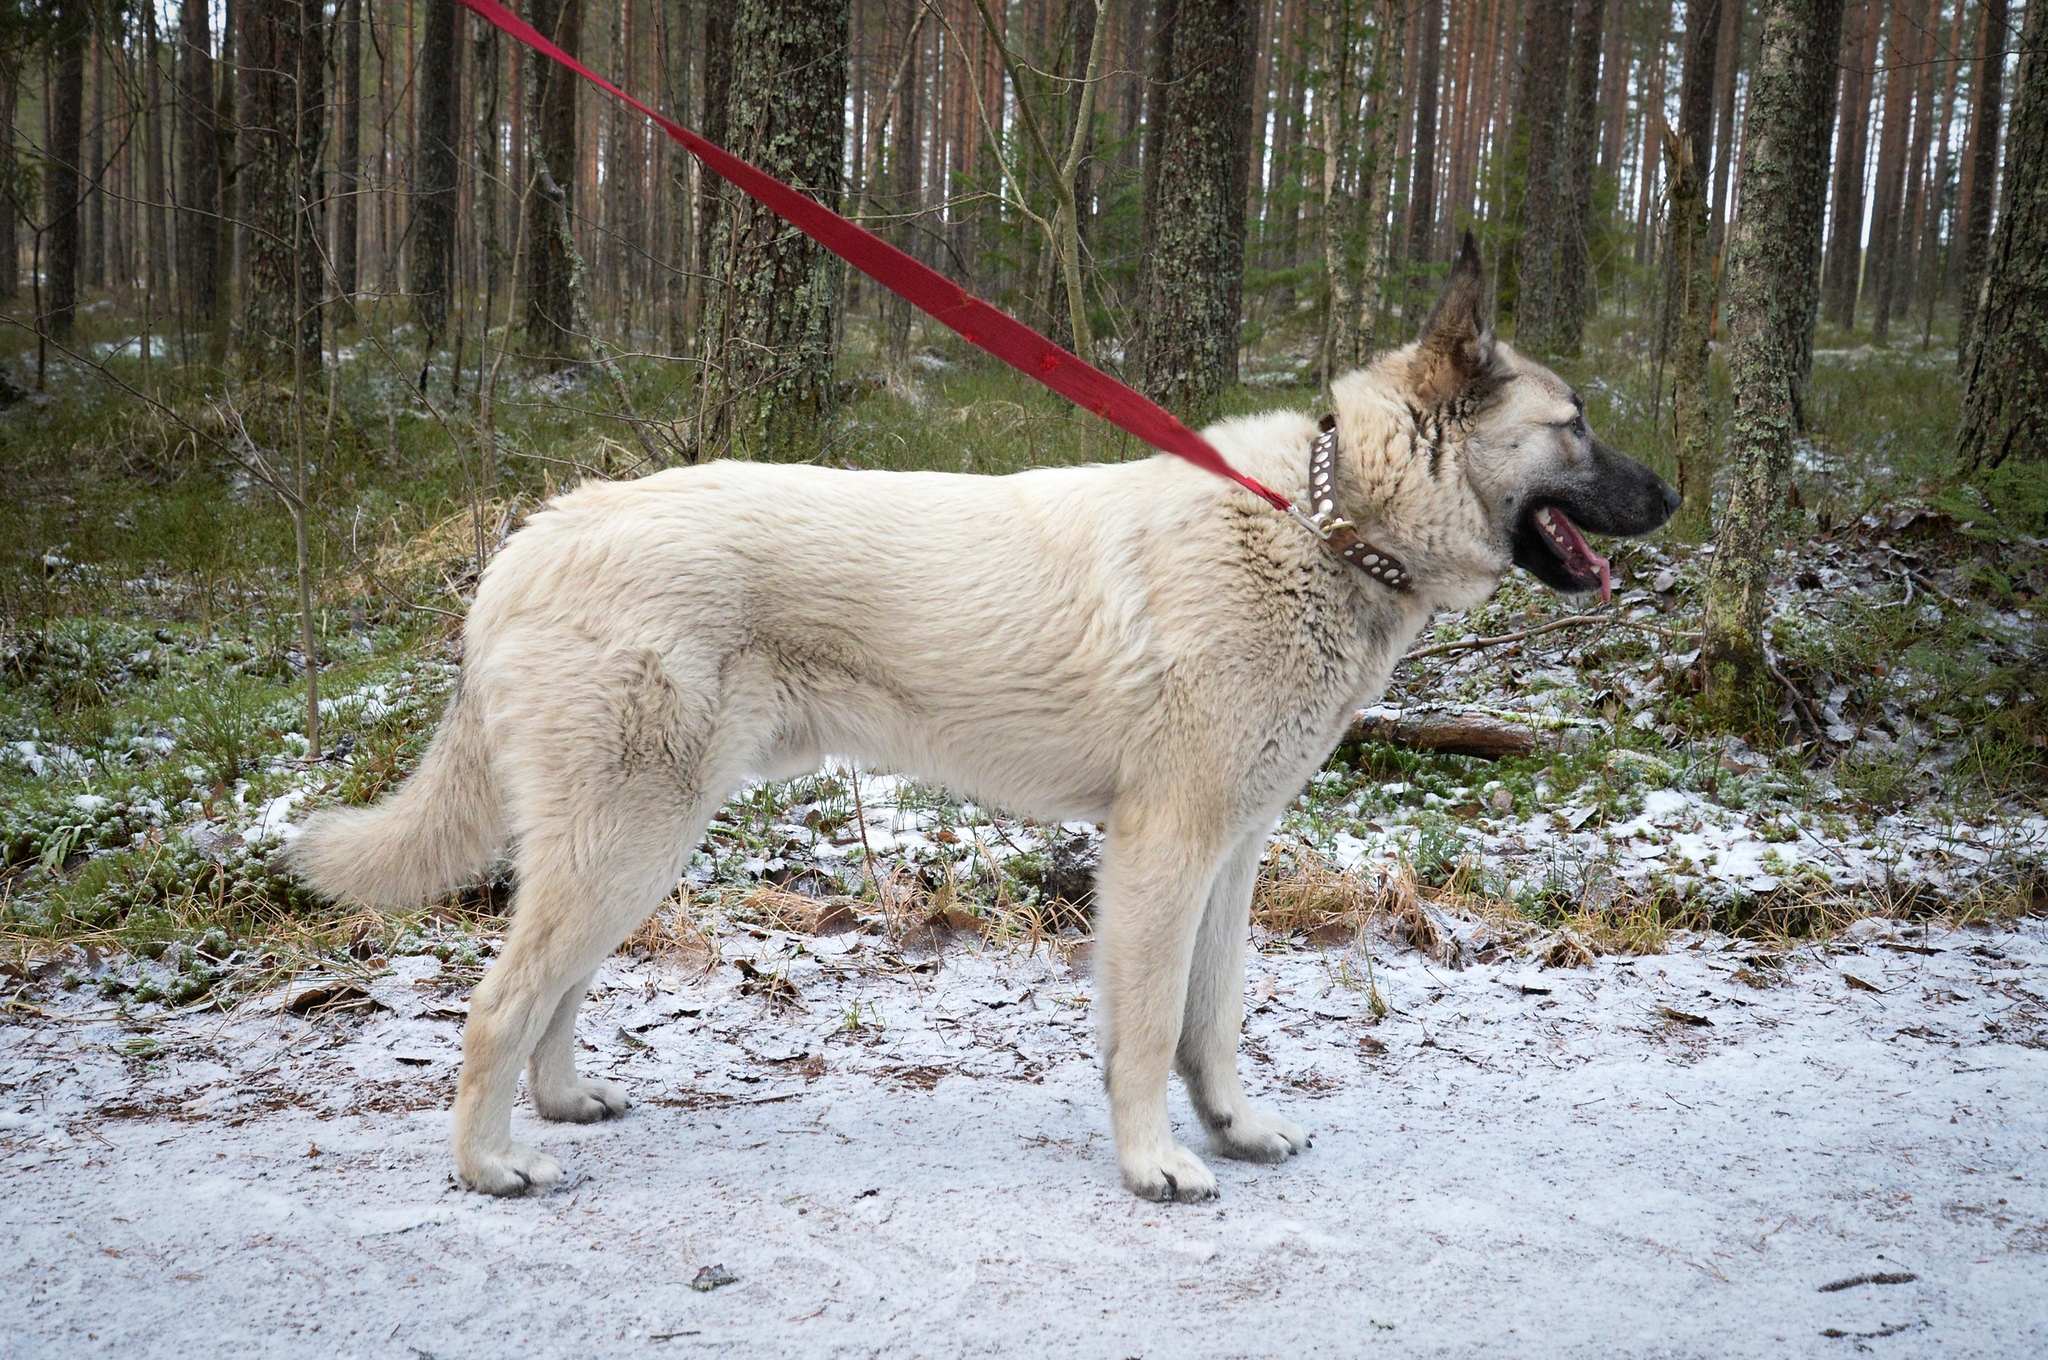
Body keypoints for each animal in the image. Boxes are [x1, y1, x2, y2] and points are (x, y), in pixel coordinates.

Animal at [296, 241, 1687, 1204]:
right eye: (1573, 427)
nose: (1675, 496)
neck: (1320, 520)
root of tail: (533, 538)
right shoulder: (1164, 853)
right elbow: (1147, 1032)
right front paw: (1155, 1164)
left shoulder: (1228, 858)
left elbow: (1210, 1021)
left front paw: (1231, 1129)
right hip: (626, 840)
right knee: (497, 1005)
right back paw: (490, 1167)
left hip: (634, 847)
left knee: (553, 995)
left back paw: (565, 1106)